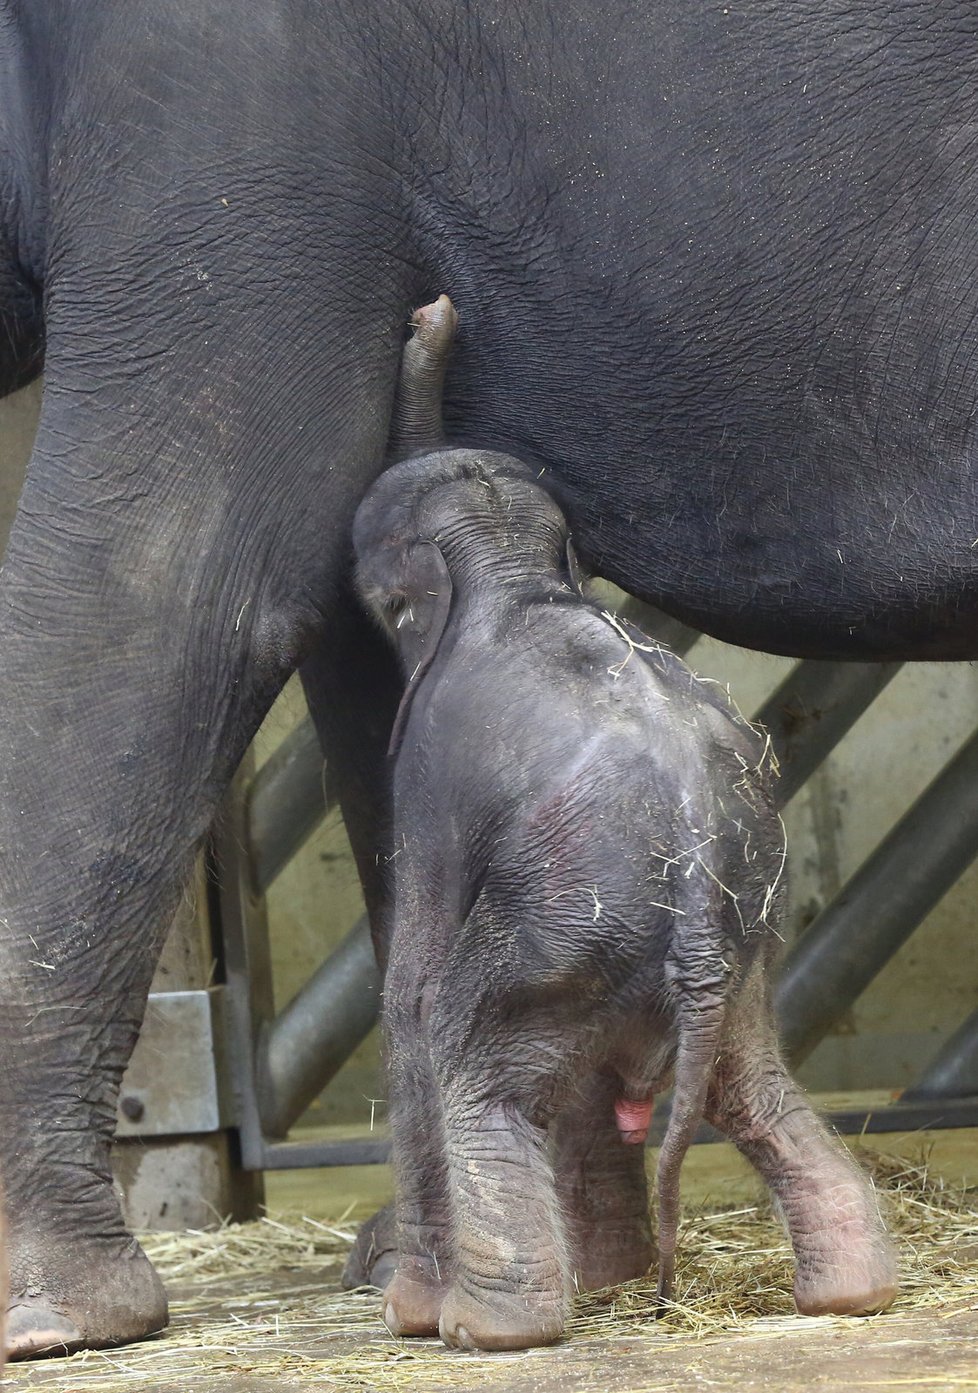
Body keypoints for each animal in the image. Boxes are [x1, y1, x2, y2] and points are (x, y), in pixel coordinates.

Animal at [353, 293, 902, 1348]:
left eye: (378, 598)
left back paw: (489, 1329)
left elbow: (413, 982)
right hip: (733, 950)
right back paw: (850, 1296)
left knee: (472, 1052)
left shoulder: (430, 771)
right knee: (754, 1087)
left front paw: (409, 1314)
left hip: (560, 931)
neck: (515, 569)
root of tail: (694, 901)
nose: (434, 307)